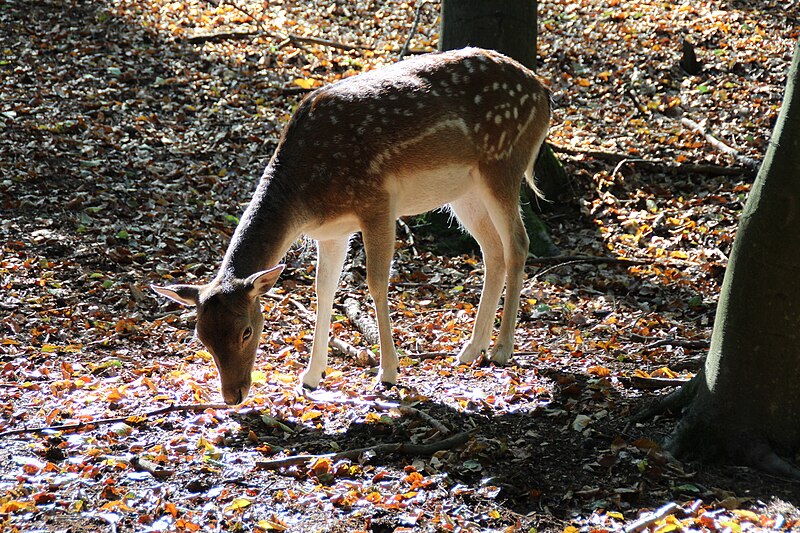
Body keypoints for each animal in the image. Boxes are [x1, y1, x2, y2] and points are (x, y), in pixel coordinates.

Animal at [152, 47, 552, 404]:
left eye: (247, 331)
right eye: (201, 337)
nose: (233, 396)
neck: (305, 196)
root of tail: (544, 93)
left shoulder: (377, 201)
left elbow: (376, 282)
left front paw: (388, 372)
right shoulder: (333, 231)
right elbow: (323, 290)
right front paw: (311, 376)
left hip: (503, 163)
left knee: (518, 243)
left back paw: (501, 349)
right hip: (464, 191)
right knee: (492, 251)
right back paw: (471, 349)